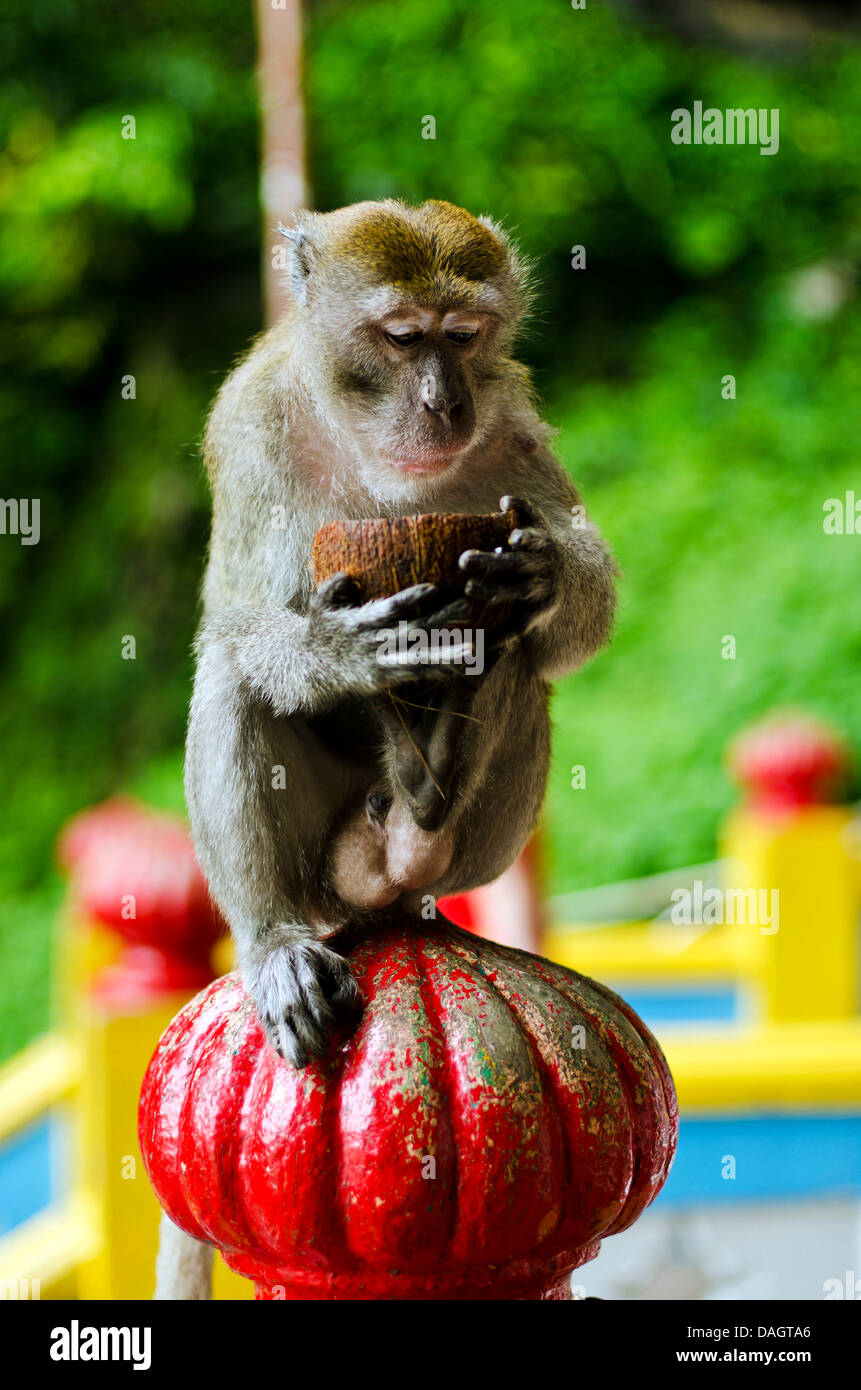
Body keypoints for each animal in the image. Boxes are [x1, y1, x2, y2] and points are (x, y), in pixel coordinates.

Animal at [156, 201, 620, 1295]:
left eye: (465, 335)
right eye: (402, 336)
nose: (445, 403)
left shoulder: (513, 420)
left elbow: (572, 615)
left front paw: (541, 574)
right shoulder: (248, 424)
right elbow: (233, 623)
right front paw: (343, 651)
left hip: (476, 849)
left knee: (514, 654)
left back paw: (424, 807)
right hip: (318, 864)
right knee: (231, 675)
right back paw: (279, 941)